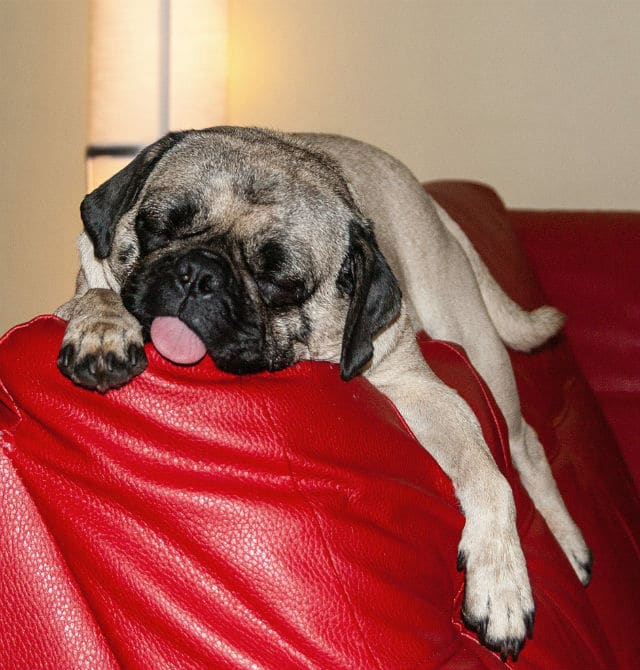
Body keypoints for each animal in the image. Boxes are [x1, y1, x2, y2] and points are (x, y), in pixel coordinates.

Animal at [57, 127, 592, 668]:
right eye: (158, 228)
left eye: (279, 282)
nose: (199, 272)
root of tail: (430, 201)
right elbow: (96, 296)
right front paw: (104, 325)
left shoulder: (422, 389)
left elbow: (489, 476)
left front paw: (501, 578)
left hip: (478, 350)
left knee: (524, 447)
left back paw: (569, 545)